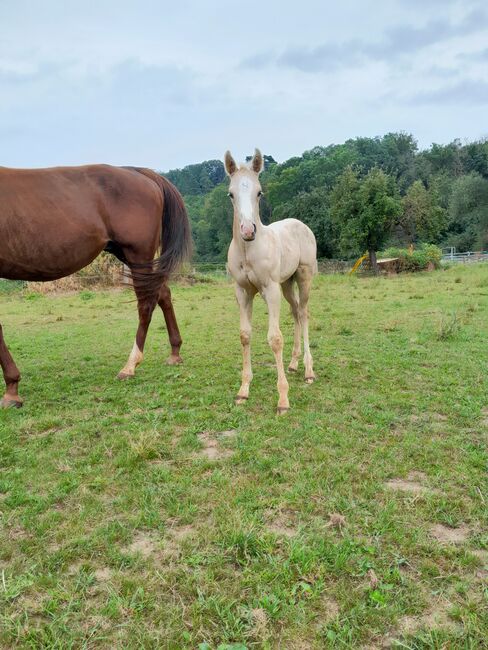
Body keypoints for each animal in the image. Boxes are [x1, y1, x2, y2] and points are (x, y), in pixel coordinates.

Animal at [0, 163, 192, 404]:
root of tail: (137, 173)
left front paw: (12, 389)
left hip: (138, 254)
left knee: (147, 304)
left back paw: (130, 366)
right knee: (162, 293)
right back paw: (174, 353)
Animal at [227, 149, 318, 412]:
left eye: (259, 192)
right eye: (231, 194)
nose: (248, 231)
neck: (249, 251)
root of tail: (301, 224)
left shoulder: (270, 289)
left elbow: (275, 338)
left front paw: (283, 400)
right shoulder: (242, 291)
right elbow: (245, 335)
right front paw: (243, 390)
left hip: (303, 277)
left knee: (304, 313)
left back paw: (309, 370)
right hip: (287, 284)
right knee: (296, 312)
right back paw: (294, 364)